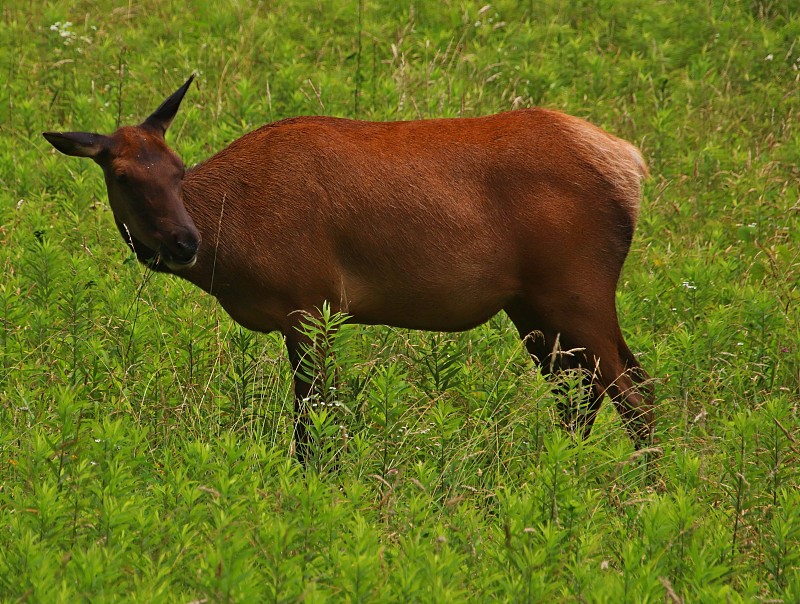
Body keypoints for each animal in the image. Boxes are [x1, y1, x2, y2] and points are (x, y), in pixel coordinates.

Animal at [43, 76, 652, 462]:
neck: (235, 247)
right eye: (123, 176)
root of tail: (631, 164)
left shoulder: (311, 301)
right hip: (532, 307)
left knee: (633, 390)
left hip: (577, 289)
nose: (183, 241)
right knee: (583, 395)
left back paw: (647, 491)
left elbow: (311, 419)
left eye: (177, 168)